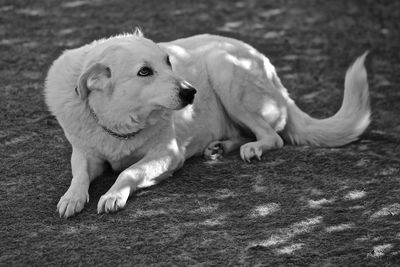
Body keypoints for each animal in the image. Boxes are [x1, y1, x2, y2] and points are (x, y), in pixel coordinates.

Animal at [44, 29, 368, 219]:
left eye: (169, 61)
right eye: (144, 72)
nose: (191, 92)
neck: (119, 120)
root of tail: (275, 76)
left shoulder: (168, 154)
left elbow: (129, 172)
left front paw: (112, 194)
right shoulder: (85, 152)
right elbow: (79, 174)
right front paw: (72, 197)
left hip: (223, 67)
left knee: (272, 136)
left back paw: (251, 148)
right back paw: (219, 146)